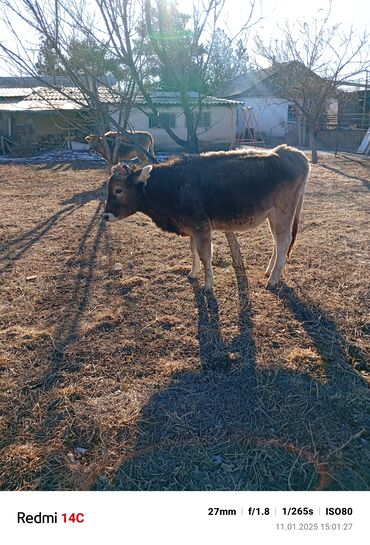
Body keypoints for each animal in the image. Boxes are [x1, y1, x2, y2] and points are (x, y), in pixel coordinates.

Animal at [102, 144, 310, 288]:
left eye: (118, 190)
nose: (105, 215)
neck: (173, 184)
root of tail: (291, 152)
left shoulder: (201, 226)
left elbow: (205, 254)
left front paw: (208, 284)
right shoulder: (192, 227)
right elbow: (194, 251)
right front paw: (193, 273)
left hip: (284, 211)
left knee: (283, 242)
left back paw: (273, 280)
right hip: (273, 215)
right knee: (277, 241)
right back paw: (269, 271)